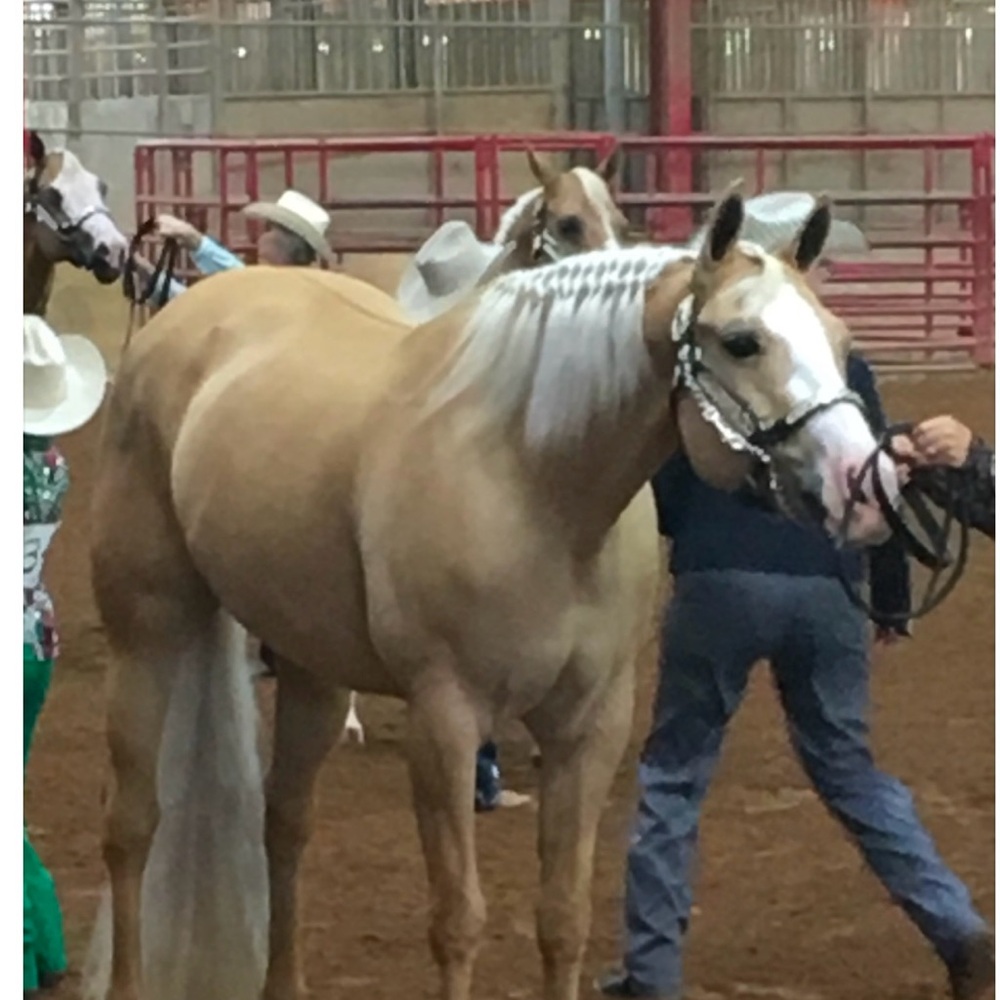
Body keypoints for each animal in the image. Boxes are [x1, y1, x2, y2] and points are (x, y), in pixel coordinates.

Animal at [84, 187, 900, 1000]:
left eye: (839, 338)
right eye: (740, 340)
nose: (863, 483)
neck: (534, 480)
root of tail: (188, 313)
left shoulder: (590, 728)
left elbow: (563, 916)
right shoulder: (444, 722)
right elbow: (458, 921)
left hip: (310, 663)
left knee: (283, 821)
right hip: (147, 635)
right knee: (131, 827)